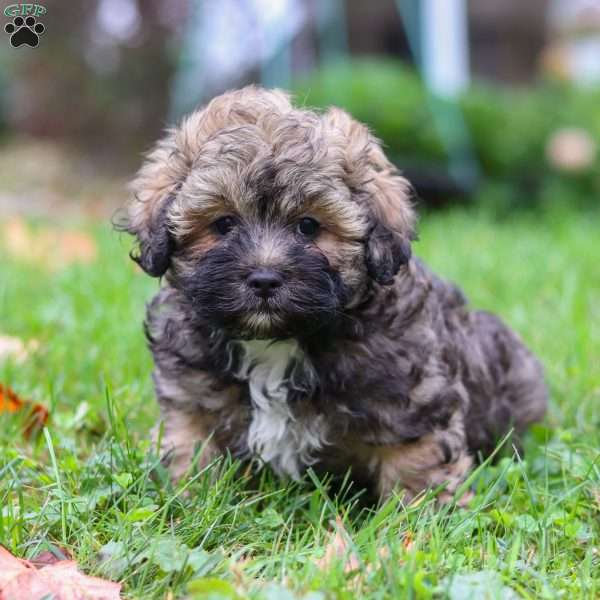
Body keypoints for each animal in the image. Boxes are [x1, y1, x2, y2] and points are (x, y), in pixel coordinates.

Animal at [124, 85, 548, 502]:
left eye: (308, 226)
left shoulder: (413, 400)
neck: (277, 342)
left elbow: (415, 463)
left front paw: (418, 516)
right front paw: (187, 498)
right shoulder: (191, 397)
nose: (264, 279)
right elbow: (191, 448)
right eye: (224, 224)